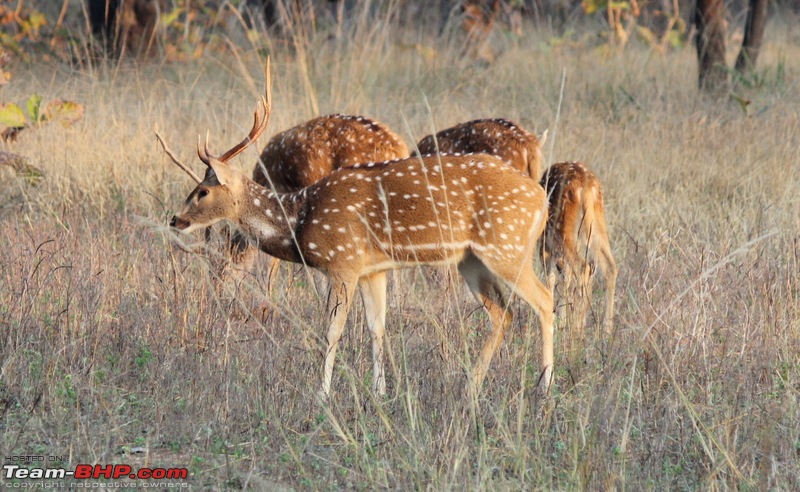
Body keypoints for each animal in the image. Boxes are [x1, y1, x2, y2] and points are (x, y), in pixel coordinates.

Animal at [540, 161, 616, 334]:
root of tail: (587, 185)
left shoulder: (543, 244)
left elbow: (551, 278)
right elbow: (564, 279)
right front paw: (560, 321)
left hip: (560, 228)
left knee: (582, 267)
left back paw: (577, 328)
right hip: (596, 220)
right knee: (609, 267)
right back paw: (607, 328)